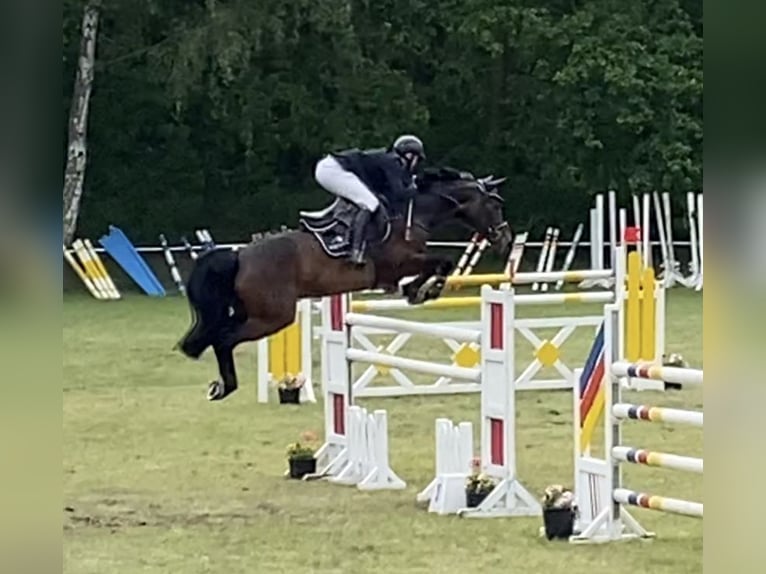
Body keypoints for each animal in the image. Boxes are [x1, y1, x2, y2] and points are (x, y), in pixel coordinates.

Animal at [178, 166, 516, 400]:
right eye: (495, 205)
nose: (506, 240)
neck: (411, 213)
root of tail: (239, 255)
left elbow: (437, 263)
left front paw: (416, 290)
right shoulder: (396, 264)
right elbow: (442, 261)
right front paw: (422, 290)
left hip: (252, 312)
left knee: (219, 334)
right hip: (274, 316)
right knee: (224, 339)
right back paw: (225, 387)